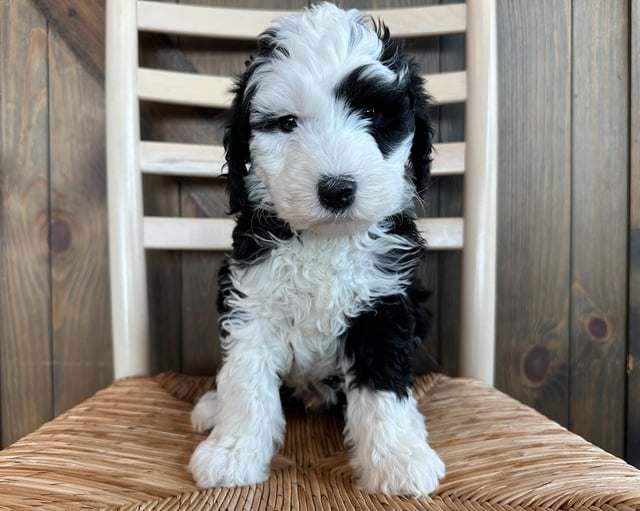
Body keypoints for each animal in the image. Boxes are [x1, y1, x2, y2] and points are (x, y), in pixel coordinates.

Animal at [188, 2, 442, 498]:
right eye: (287, 123)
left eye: (372, 113)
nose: (337, 190)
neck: (326, 239)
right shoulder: (252, 299)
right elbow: (247, 383)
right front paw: (233, 453)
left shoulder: (385, 303)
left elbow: (382, 387)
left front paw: (397, 460)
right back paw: (212, 406)